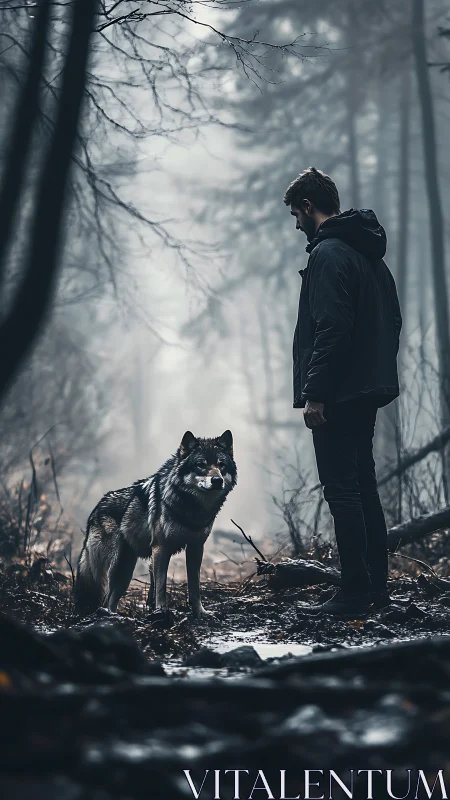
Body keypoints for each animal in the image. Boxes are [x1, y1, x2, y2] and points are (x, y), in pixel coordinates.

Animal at [74, 430, 237, 618]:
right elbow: (160, 585)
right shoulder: (161, 549)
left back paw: (114, 615)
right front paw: (161, 611)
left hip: (125, 572)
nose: (217, 480)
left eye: (221, 465)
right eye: (200, 465)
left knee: (111, 599)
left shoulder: (196, 548)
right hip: (115, 566)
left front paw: (200, 612)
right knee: (106, 597)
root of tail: (96, 508)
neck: (192, 507)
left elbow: (195, 586)